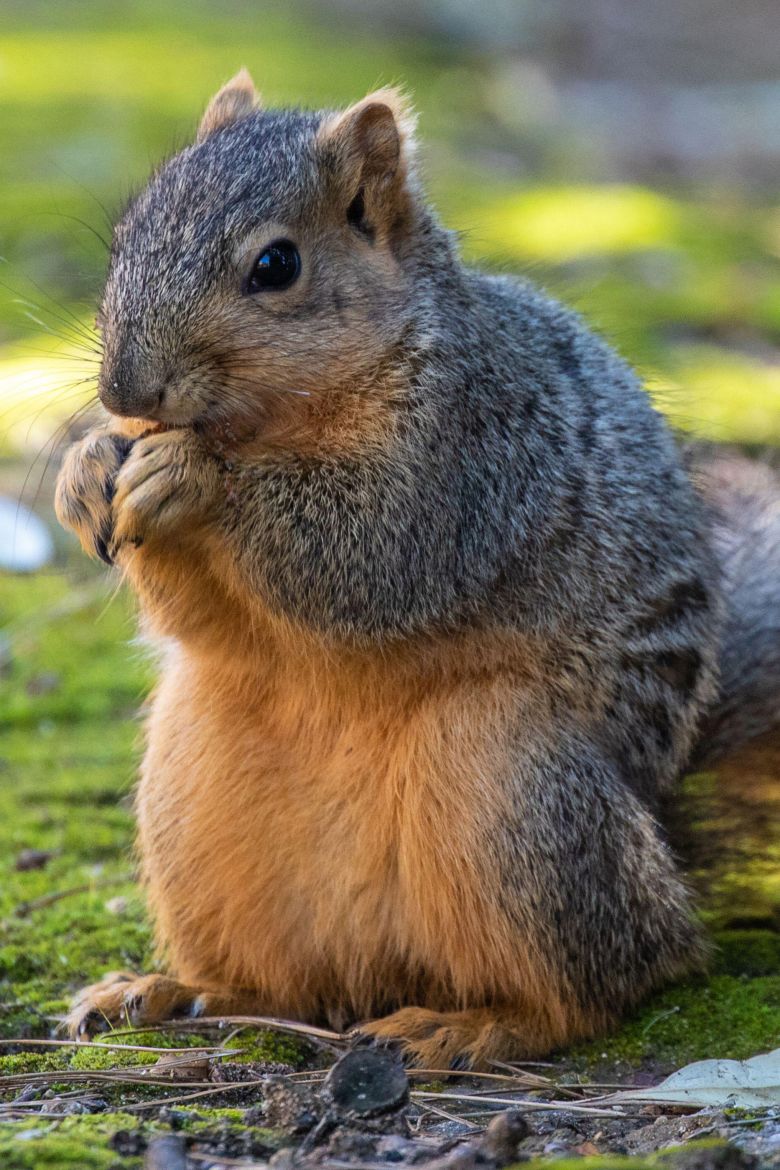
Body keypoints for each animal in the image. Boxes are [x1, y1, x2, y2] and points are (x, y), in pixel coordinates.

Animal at [55, 72, 780, 1067]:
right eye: (128, 232)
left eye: (275, 265)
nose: (124, 391)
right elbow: (195, 619)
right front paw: (87, 465)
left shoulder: (472, 456)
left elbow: (371, 553)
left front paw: (196, 476)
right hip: (188, 802)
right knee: (280, 983)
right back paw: (165, 989)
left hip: (508, 786)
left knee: (597, 987)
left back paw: (469, 1024)